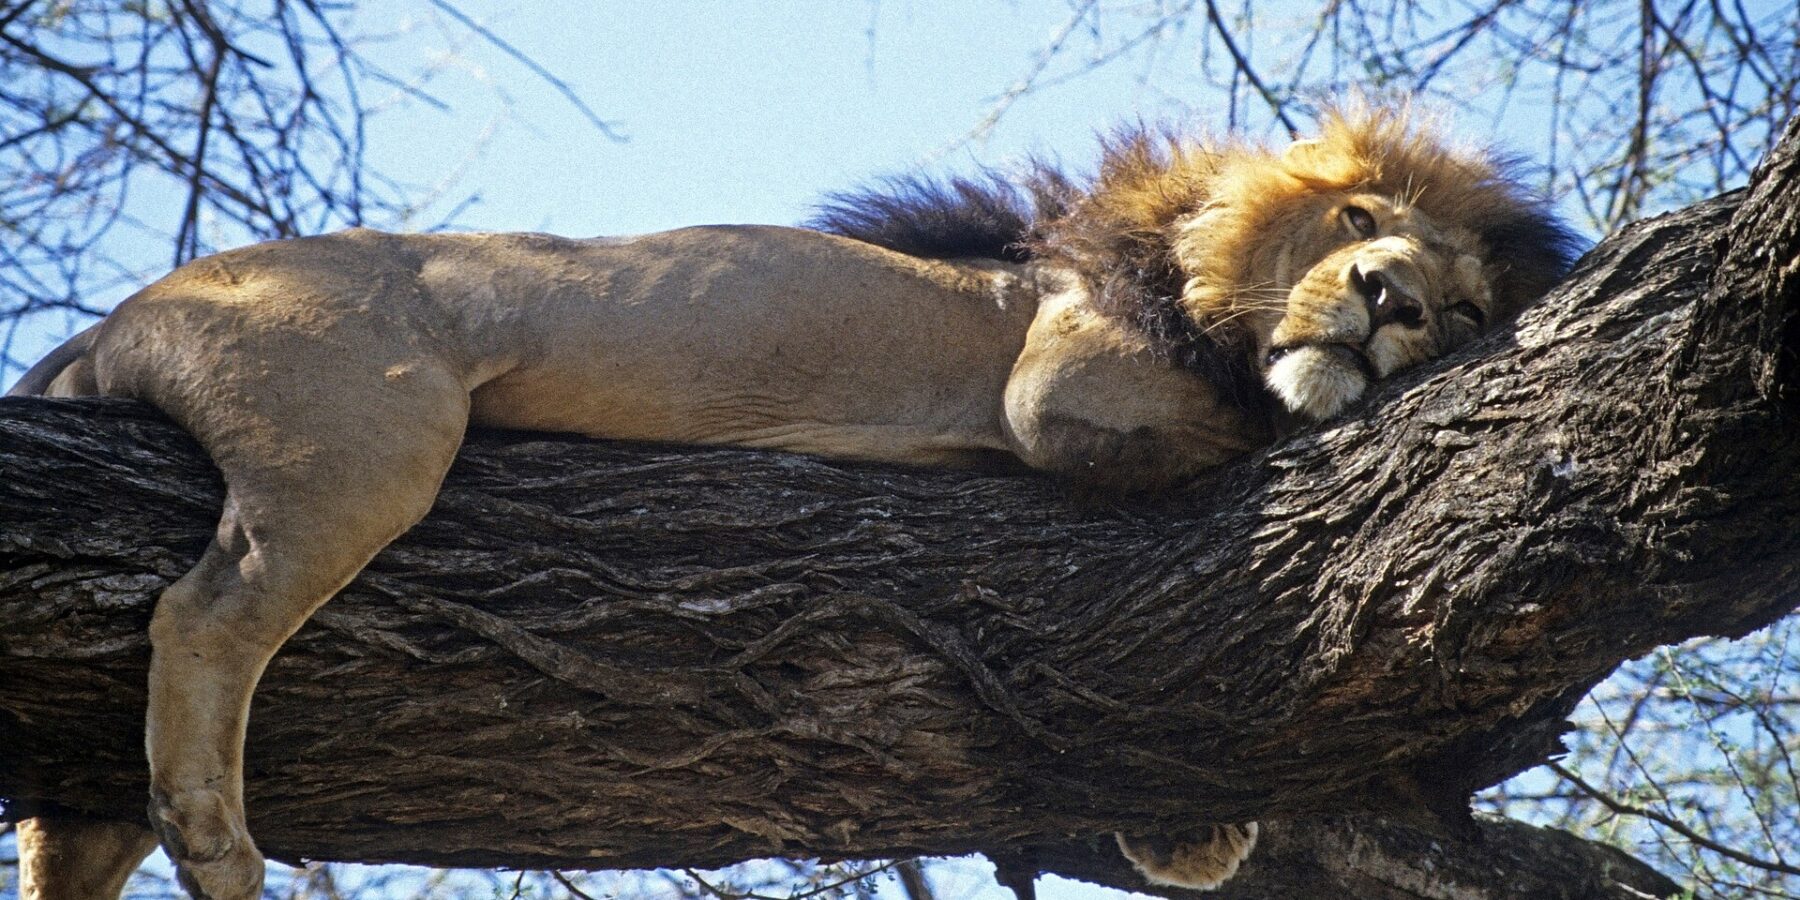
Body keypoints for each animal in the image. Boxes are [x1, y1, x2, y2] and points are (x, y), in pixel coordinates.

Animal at [8, 104, 1577, 899]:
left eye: (1464, 307)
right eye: (1361, 223)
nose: (1389, 300)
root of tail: (118, 315)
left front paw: (1193, 832)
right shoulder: (1057, 382)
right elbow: (1231, 422)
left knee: (79, 814)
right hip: (375, 424)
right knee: (203, 612)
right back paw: (219, 839)